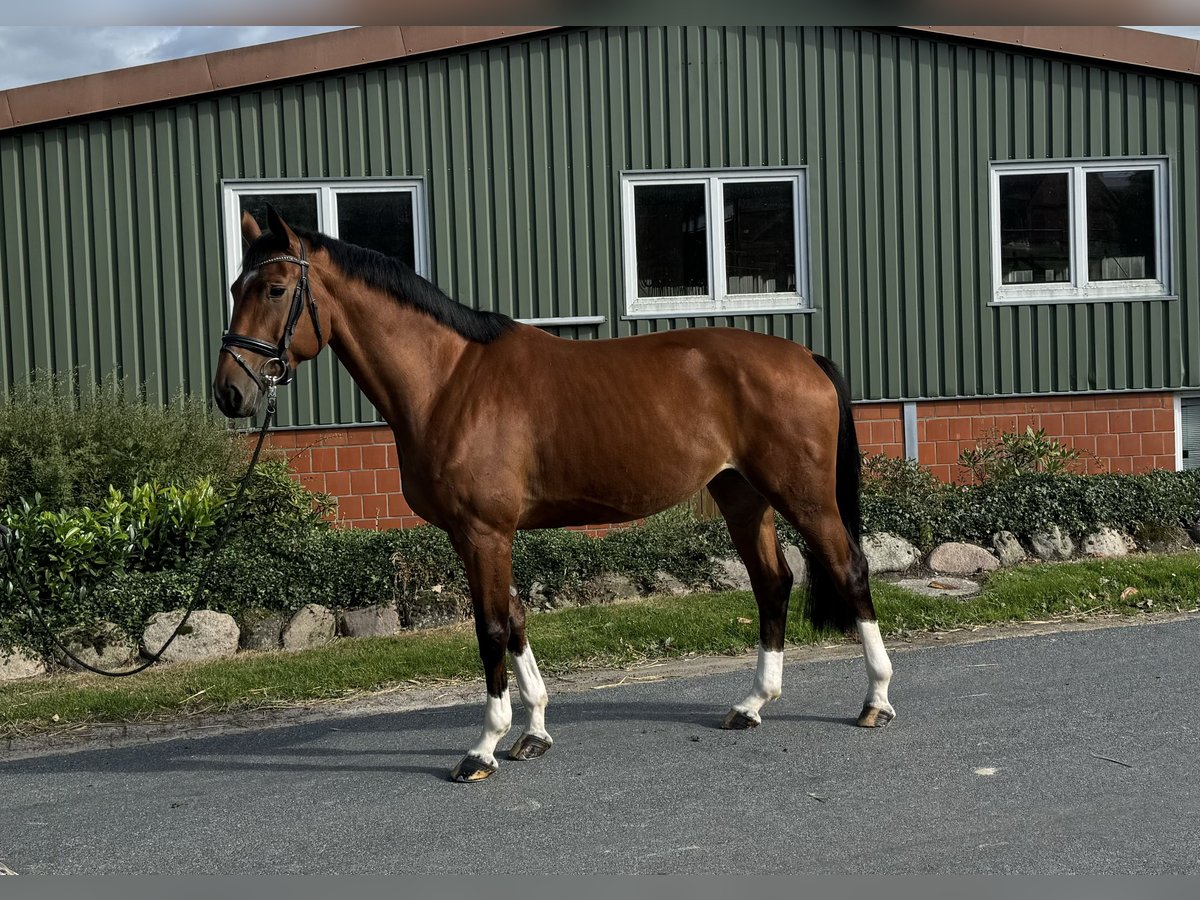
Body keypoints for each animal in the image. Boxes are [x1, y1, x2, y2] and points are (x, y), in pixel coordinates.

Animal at [213, 204, 892, 782]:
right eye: (235, 288)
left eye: (275, 289)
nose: (230, 393)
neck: (449, 381)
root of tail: (804, 355)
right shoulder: (480, 536)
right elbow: (515, 619)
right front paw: (533, 732)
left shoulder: (484, 532)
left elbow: (490, 627)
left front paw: (483, 747)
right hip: (742, 495)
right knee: (772, 582)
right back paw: (752, 704)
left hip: (803, 496)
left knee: (850, 569)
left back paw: (876, 700)